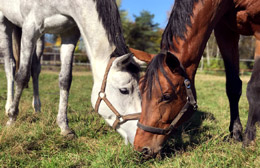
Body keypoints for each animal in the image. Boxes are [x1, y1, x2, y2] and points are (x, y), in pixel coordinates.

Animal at [0, 0, 141, 144]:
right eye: (124, 90)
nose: (137, 135)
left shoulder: (69, 33)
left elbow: (65, 79)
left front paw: (64, 127)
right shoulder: (30, 28)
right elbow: (22, 76)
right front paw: (12, 117)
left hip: (40, 37)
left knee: (35, 68)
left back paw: (37, 108)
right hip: (5, 23)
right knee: (10, 65)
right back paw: (8, 107)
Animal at [131, 0, 260, 157]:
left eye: (166, 96)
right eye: (140, 90)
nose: (140, 148)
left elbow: (253, 88)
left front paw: (249, 140)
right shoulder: (225, 32)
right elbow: (233, 87)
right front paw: (235, 134)